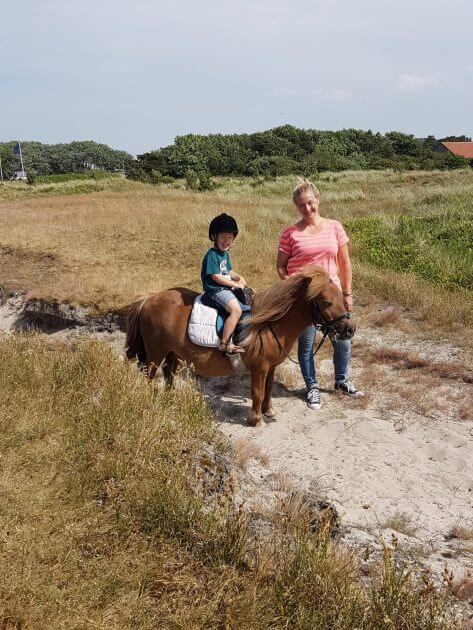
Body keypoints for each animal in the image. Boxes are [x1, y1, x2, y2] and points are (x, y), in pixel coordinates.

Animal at [125, 266, 354, 430]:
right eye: (326, 302)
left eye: (341, 298)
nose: (350, 329)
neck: (269, 324)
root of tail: (148, 299)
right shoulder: (259, 367)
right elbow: (258, 392)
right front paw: (256, 419)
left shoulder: (271, 367)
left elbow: (268, 390)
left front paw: (268, 411)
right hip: (156, 353)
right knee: (148, 376)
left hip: (172, 352)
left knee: (169, 375)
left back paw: (170, 399)